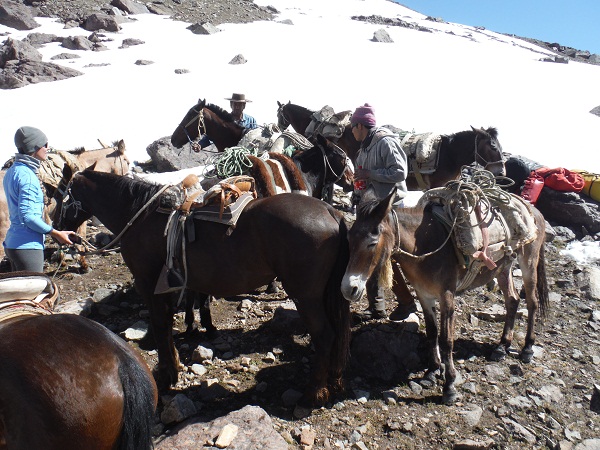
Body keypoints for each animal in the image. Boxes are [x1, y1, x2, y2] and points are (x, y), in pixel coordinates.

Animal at [54, 170, 352, 408]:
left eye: (61, 194)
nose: (57, 230)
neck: (139, 216)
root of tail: (330, 211)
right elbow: (174, 321)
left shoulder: (148, 284)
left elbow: (161, 327)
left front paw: (167, 375)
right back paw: (333, 382)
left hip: (306, 296)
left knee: (325, 335)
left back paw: (314, 393)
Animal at [342, 186, 548, 404]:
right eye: (349, 239)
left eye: (372, 243)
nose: (348, 289)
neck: (423, 246)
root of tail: (534, 209)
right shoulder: (424, 295)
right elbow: (432, 333)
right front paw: (432, 372)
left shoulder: (447, 296)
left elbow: (446, 340)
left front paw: (449, 386)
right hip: (503, 267)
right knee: (512, 300)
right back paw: (501, 347)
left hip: (529, 262)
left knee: (532, 302)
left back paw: (527, 348)